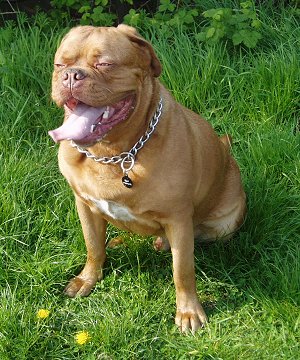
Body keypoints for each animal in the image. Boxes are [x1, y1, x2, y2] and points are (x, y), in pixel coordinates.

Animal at [48, 24, 246, 332]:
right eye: (60, 65)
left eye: (104, 64)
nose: (71, 75)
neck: (114, 153)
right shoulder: (84, 205)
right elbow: (93, 246)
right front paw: (88, 278)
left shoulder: (178, 218)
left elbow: (182, 270)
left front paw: (188, 312)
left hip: (225, 223)